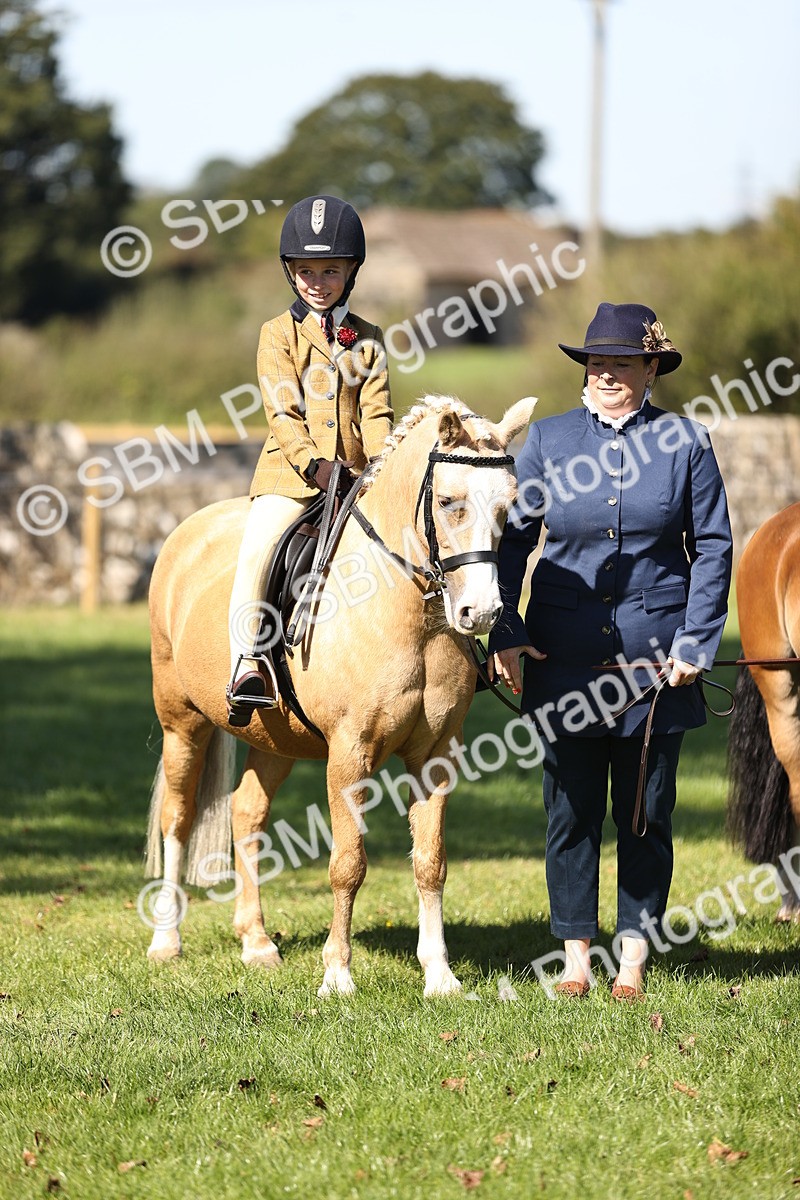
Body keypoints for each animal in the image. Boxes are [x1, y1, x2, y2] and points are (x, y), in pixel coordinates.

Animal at [143, 394, 536, 996]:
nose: (483, 613)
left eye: (508, 509)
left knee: (246, 813)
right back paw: (167, 940)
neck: (409, 614)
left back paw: (257, 943)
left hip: (276, 739)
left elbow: (431, 861)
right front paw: (337, 975)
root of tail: (189, 529)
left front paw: (439, 975)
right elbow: (348, 863)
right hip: (181, 721)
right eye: (449, 502)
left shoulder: (436, 755)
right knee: (179, 817)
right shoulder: (349, 753)